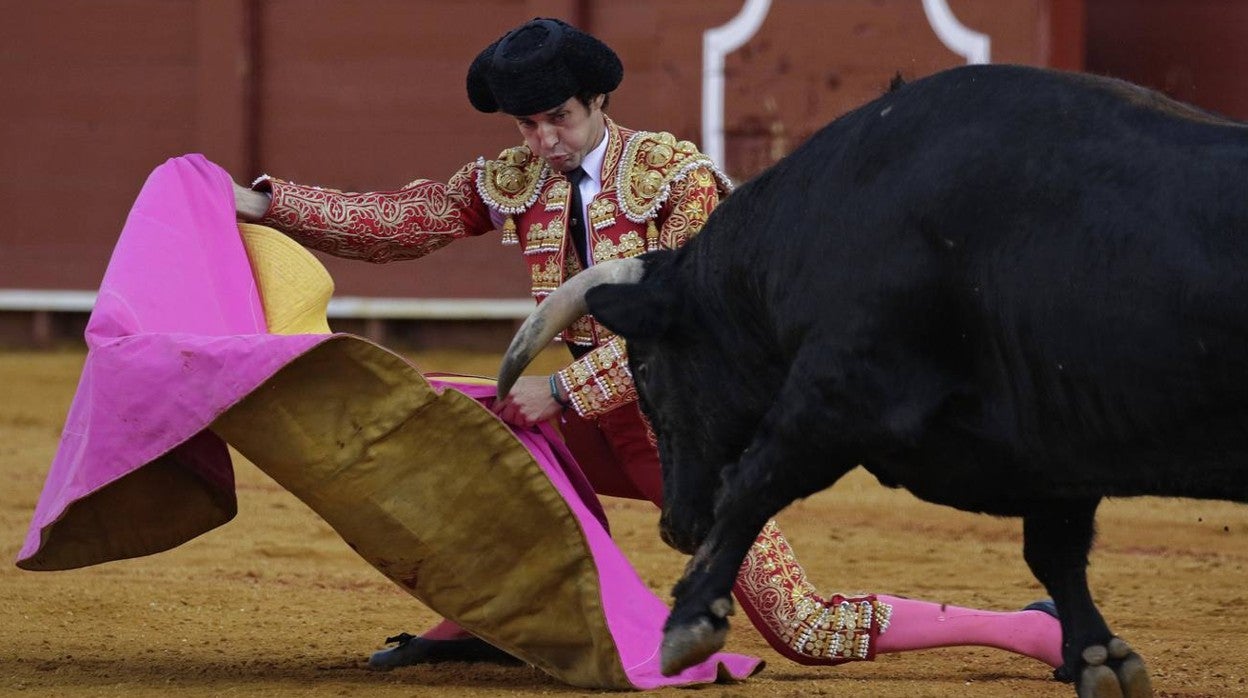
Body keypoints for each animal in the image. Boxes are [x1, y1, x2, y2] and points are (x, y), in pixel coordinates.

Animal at [494, 62, 1248, 694]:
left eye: (647, 367)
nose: (679, 527)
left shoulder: (843, 390)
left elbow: (752, 482)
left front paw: (686, 624)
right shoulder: (1055, 447)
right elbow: (1056, 551)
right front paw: (1098, 657)